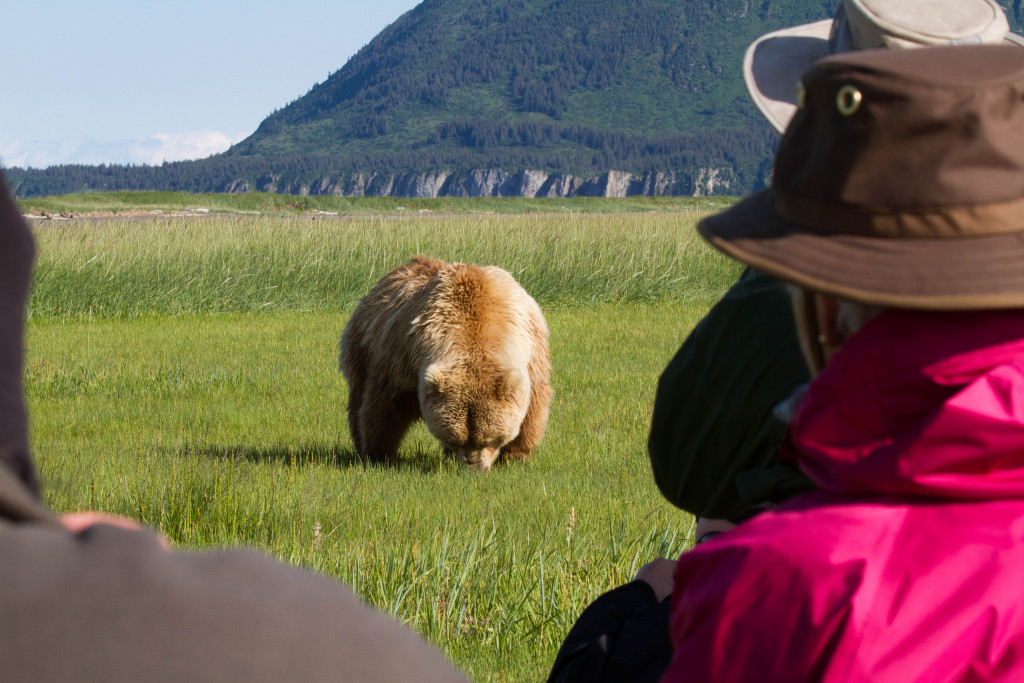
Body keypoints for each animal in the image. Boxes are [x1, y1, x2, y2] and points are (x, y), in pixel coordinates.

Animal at [339, 254, 552, 471]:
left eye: (488, 440)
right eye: (456, 439)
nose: (473, 467)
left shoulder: (532, 354)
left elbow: (532, 407)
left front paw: (514, 454)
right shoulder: (403, 357)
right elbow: (385, 404)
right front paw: (379, 455)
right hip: (361, 345)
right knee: (358, 398)